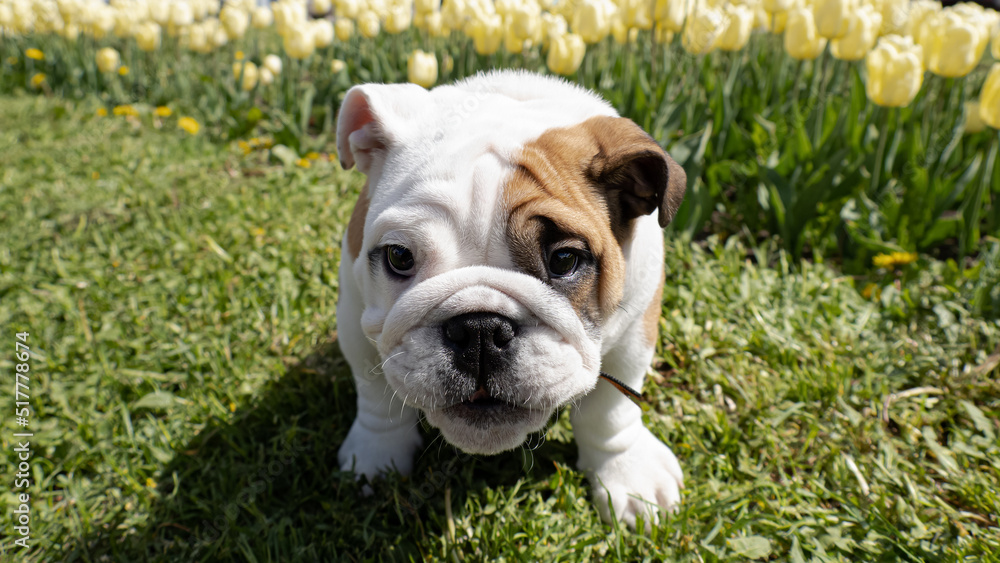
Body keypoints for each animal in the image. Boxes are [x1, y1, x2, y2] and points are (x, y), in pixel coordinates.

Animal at [336, 70, 688, 528]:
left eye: (564, 260)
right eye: (399, 257)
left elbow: (611, 409)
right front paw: (377, 455)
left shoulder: (633, 331)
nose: (479, 328)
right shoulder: (355, 318)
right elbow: (375, 393)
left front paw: (628, 475)